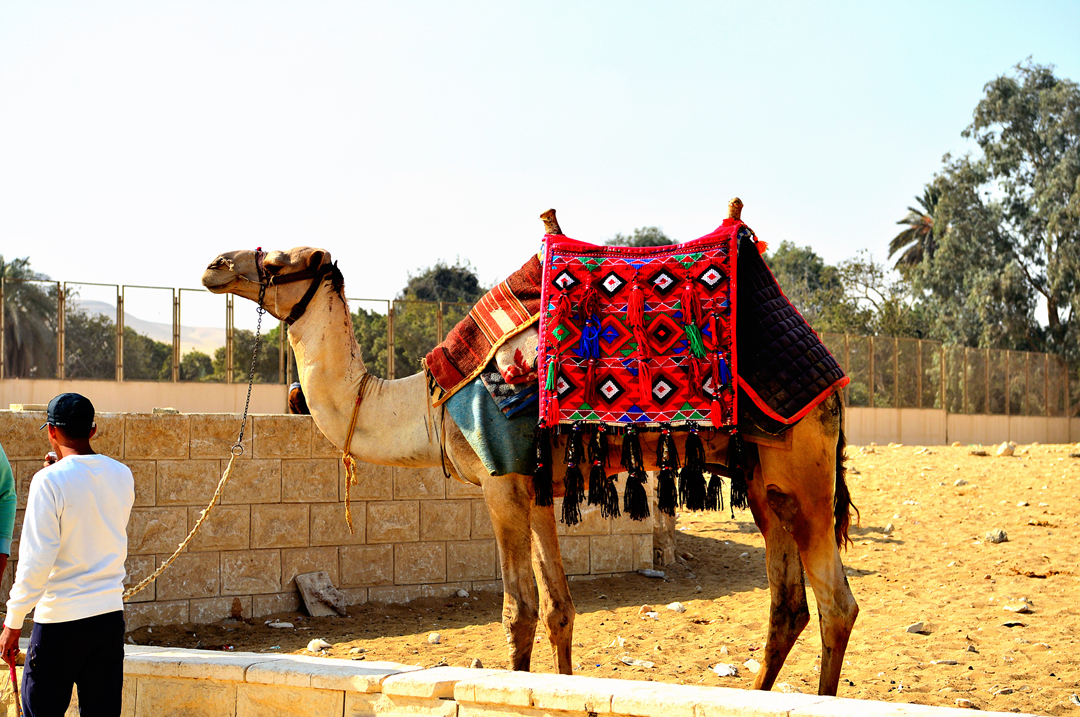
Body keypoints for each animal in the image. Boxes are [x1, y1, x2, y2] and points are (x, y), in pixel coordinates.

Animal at [201, 239, 858, 696]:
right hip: (764, 483)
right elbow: (560, 610)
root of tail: (832, 376)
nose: (214, 264)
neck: (429, 407)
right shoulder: (538, 490)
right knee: (788, 605)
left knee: (837, 605)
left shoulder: (500, 485)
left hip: (804, 472)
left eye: (281, 258)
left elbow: (518, 612)